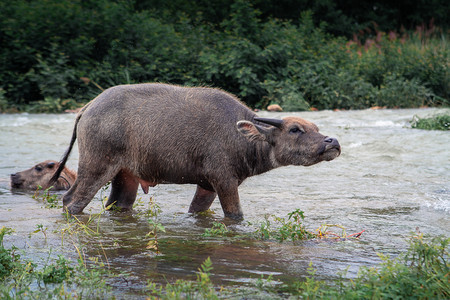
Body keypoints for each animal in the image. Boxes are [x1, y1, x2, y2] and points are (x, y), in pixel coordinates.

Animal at [51, 83, 342, 219]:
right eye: (295, 129)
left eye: (315, 127)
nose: (333, 142)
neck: (242, 140)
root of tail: (87, 108)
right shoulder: (224, 180)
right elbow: (235, 215)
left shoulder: (207, 185)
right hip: (96, 166)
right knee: (71, 201)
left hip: (125, 177)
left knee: (118, 205)